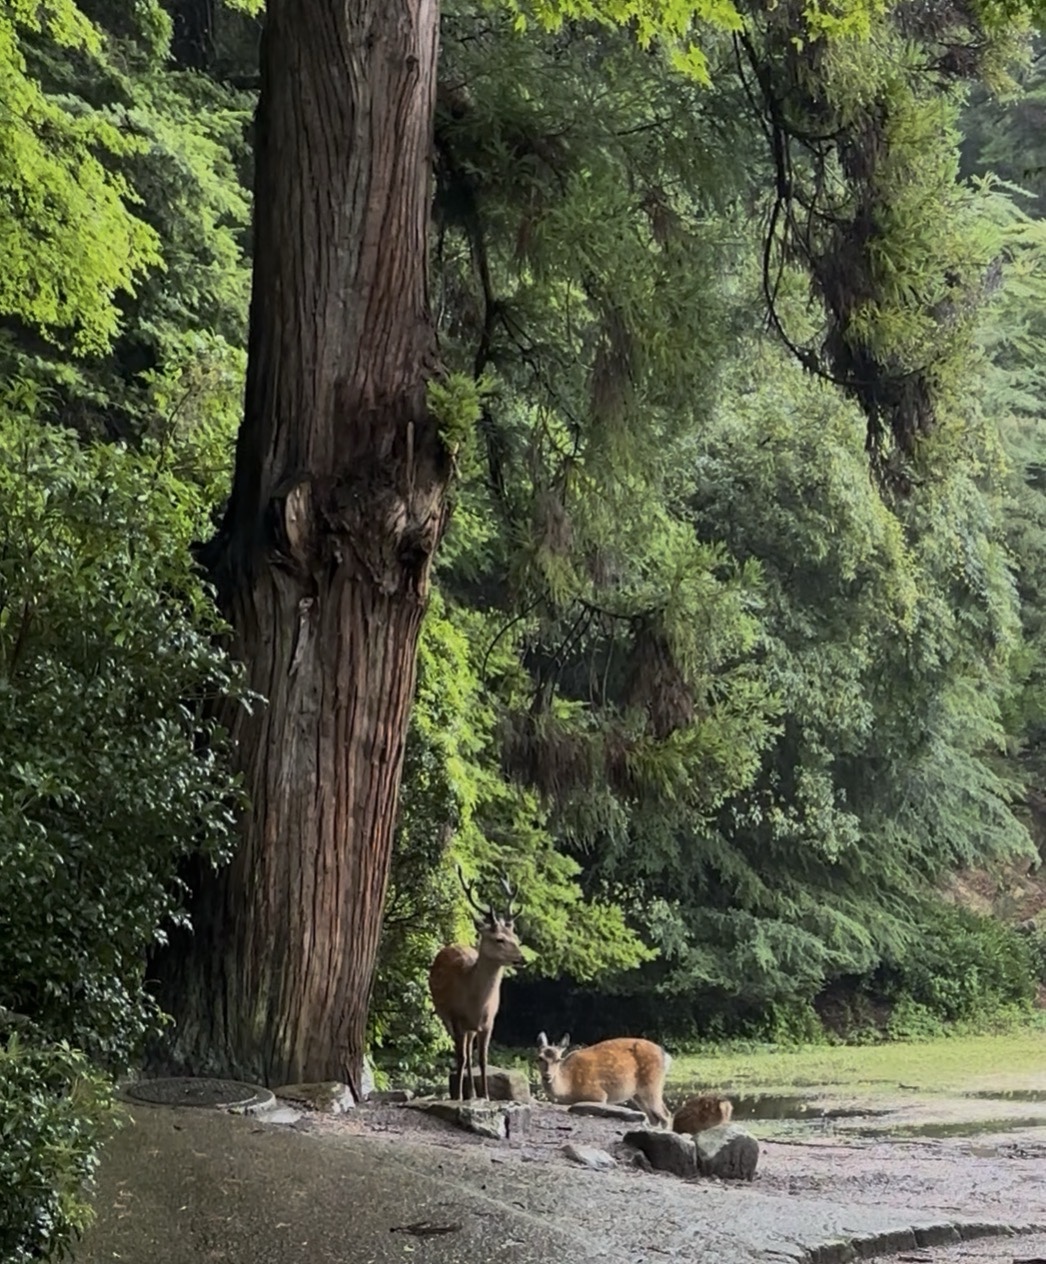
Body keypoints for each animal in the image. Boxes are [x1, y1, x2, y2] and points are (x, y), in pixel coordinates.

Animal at [428, 867, 525, 1102]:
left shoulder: (489, 1022)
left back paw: (472, 1092)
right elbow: (461, 1057)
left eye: (515, 936)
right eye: (499, 939)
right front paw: (459, 1097)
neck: (475, 1003)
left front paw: (486, 1096)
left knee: (470, 1055)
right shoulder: (455, 1017)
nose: (522, 958)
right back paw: (464, 1093)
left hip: (471, 1028)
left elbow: (482, 1059)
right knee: (462, 1054)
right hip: (445, 1017)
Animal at [535, 1032, 672, 1127]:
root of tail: (666, 1056)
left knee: (666, 1115)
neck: (570, 1087)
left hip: (652, 1084)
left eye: (558, 1060)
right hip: (637, 1093)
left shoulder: (598, 1095)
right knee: (655, 1117)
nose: (547, 1076)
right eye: (540, 1058)